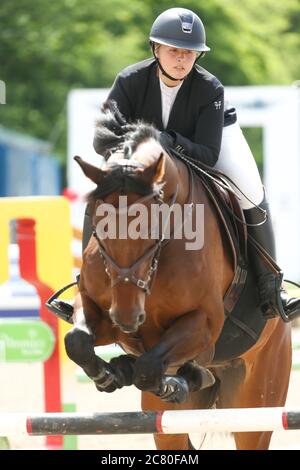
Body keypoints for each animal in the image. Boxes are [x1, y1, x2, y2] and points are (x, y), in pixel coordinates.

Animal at [64, 102, 292, 448]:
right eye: (98, 222)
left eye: (153, 225)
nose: (127, 316)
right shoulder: (99, 311)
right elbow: (76, 341)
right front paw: (108, 374)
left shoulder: (203, 322)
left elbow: (149, 367)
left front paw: (170, 382)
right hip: (168, 425)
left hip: (258, 402)